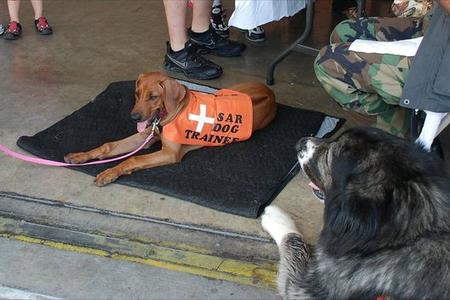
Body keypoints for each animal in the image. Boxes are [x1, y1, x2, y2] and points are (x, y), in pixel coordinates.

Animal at [64, 71, 276, 186]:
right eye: (137, 93)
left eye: (153, 97)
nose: (134, 116)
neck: (166, 115)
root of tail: (270, 93)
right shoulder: (144, 136)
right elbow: (108, 145)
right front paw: (81, 155)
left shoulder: (170, 153)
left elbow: (134, 159)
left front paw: (110, 172)